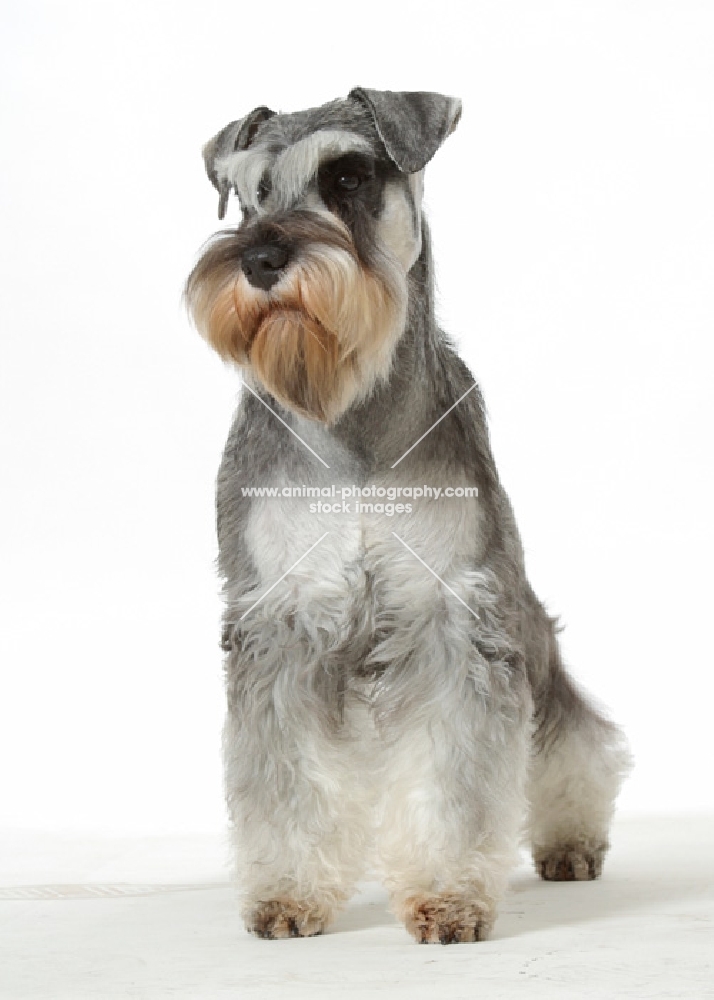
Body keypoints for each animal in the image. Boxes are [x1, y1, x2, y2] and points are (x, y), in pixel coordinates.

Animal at [185, 88, 628, 944]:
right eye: (251, 192)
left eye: (348, 175)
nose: (260, 258)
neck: (349, 411)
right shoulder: (279, 620)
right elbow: (285, 776)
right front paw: (287, 895)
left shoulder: (450, 615)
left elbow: (454, 778)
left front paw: (449, 897)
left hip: (527, 634)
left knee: (573, 739)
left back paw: (572, 841)